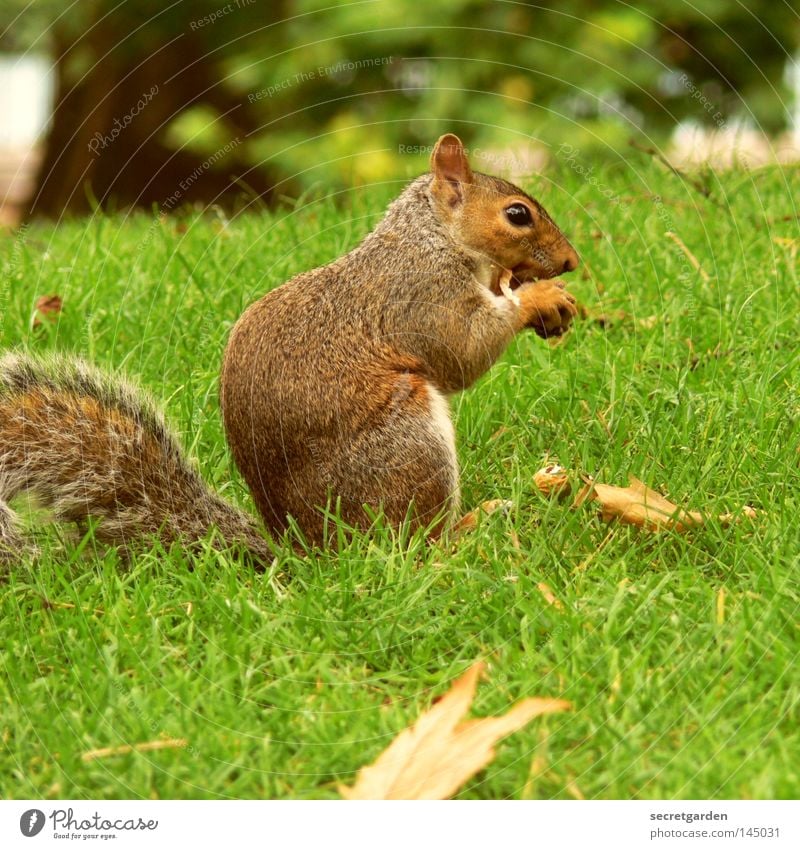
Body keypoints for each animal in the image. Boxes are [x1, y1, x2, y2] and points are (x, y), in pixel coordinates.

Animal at [0, 132, 576, 564]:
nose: (571, 262)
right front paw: (537, 298)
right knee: (412, 544)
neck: (433, 238)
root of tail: (306, 553)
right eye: (518, 214)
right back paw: (471, 528)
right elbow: (462, 352)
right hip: (408, 446)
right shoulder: (423, 297)